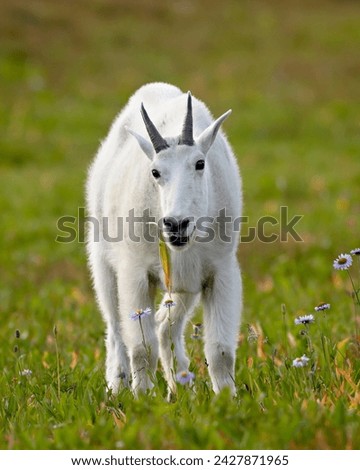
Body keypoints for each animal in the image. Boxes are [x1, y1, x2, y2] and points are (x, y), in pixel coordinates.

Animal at [86, 81, 243, 396]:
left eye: (200, 163)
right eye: (155, 172)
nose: (176, 224)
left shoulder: (219, 272)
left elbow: (220, 351)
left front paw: (227, 401)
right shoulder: (135, 274)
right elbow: (141, 348)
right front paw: (143, 400)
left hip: (184, 286)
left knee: (164, 327)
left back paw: (181, 387)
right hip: (102, 263)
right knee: (115, 329)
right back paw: (118, 387)